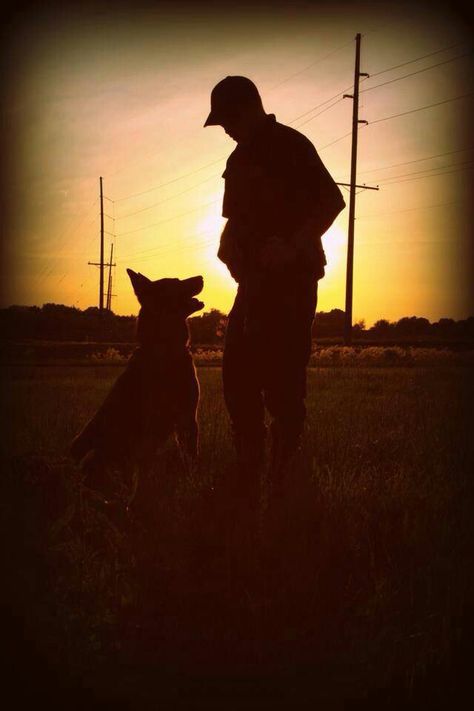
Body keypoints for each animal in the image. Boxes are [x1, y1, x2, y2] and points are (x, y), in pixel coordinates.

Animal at [70, 268, 204, 500]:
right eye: (177, 281)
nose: (203, 277)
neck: (164, 349)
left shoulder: (186, 418)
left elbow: (188, 458)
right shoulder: (168, 422)